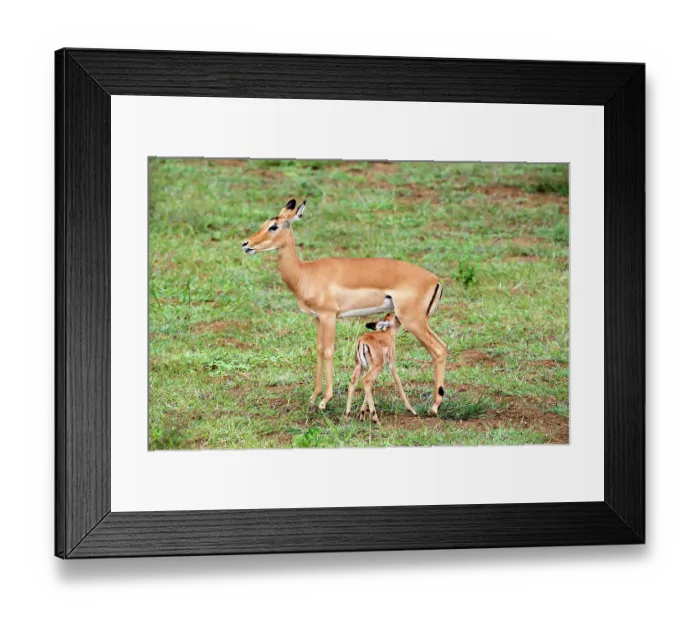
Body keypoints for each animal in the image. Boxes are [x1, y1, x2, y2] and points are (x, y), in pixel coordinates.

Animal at [241, 199, 447, 415]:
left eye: (274, 226)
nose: (246, 244)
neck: (305, 273)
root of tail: (435, 280)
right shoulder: (317, 318)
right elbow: (319, 350)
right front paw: (313, 397)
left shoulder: (329, 316)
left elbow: (329, 351)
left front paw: (325, 400)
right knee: (435, 353)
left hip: (414, 322)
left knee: (440, 349)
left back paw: (434, 406)